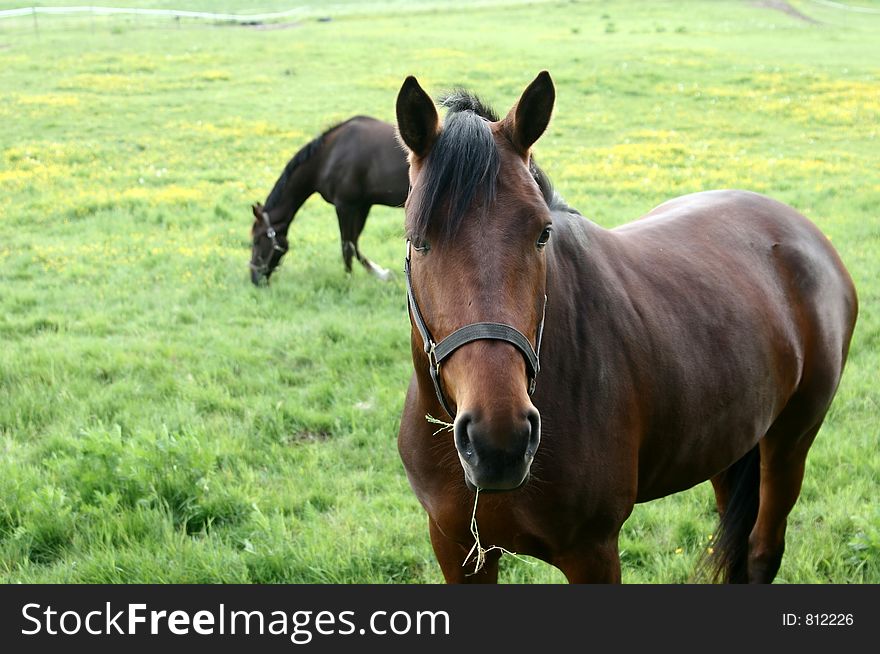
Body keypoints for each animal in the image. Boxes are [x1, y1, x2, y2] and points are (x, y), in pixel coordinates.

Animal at [249, 115, 410, 284]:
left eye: (256, 240)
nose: (254, 279)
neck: (330, 156)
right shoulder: (362, 205)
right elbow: (354, 243)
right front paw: (381, 273)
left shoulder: (344, 206)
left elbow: (347, 245)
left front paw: (349, 278)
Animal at [394, 72, 860, 584]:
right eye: (418, 240)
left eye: (542, 233)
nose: (500, 441)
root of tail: (803, 232)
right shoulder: (456, 547)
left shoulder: (593, 552)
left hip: (790, 442)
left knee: (761, 550)